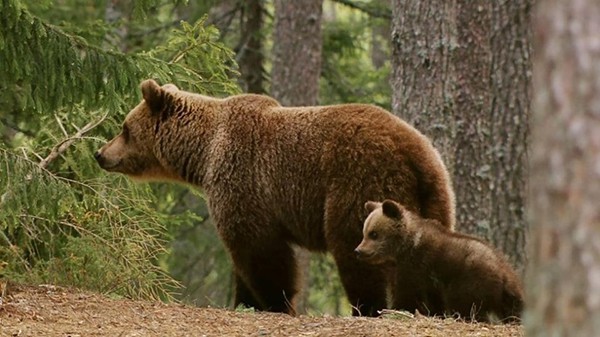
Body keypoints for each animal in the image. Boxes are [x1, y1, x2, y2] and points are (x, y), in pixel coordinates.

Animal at [95, 79, 454, 316]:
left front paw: (276, 302)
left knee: (357, 249)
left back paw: (367, 308)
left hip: (360, 183)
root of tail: (415, 153)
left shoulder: (243, 178)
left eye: (124, 128)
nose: (100, 154)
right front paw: (244, 300)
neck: (203, 152)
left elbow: (259, 250)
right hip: (435, 197)